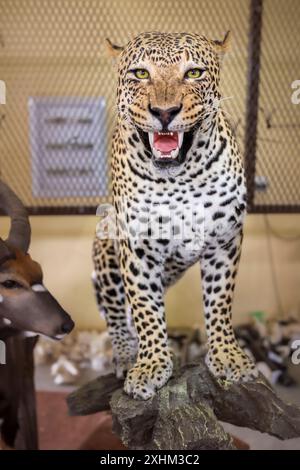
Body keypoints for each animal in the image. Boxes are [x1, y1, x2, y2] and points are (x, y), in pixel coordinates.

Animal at [92, 31, 258, 400]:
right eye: (140, 74)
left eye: (193, 73)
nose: (165, 112)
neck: (178, 179)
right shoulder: (135, 249)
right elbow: (145, 309)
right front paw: (151, 365)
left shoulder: (225, 241)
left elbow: (220, 300)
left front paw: (227, 355)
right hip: (104, 247)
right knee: (117, 313)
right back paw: (126, 355)